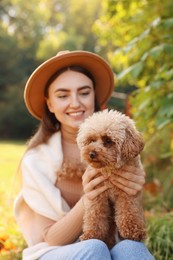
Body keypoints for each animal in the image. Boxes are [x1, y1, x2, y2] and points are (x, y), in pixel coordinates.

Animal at [76, 109, 146, 248]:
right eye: (91, 140)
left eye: (108, 140)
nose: (91, 153)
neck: (110, 170)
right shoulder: (97, 195)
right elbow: (94, 215)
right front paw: (91, 234)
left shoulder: (127, 194)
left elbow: (128, 212)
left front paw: (133, 231)